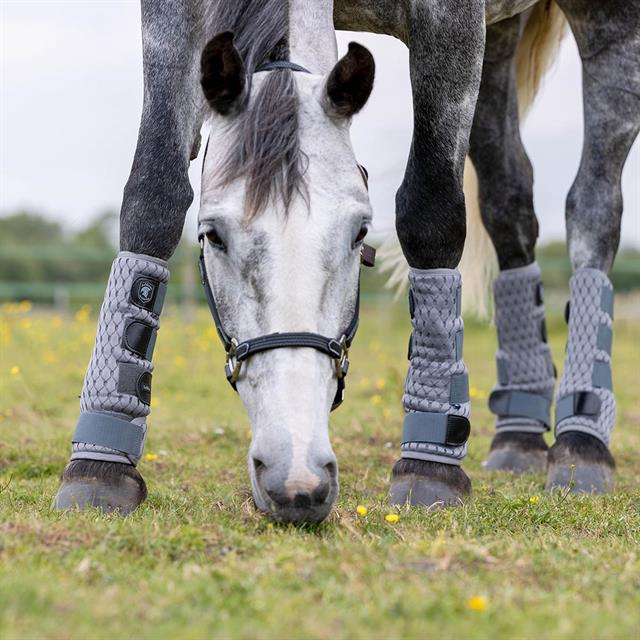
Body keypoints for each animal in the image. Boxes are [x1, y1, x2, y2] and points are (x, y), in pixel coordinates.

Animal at [55, 1, 640, 524]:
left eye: (360, 233)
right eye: (211, 235)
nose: (295, 479)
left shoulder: (451, 17)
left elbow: (431, 212)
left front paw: (429, 464)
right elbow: (151, 194)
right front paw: (99, 461)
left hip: (608, 27)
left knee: (593, 206)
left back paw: (582, 441)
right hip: (500, 40)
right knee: (509, 201)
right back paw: (519, 434)